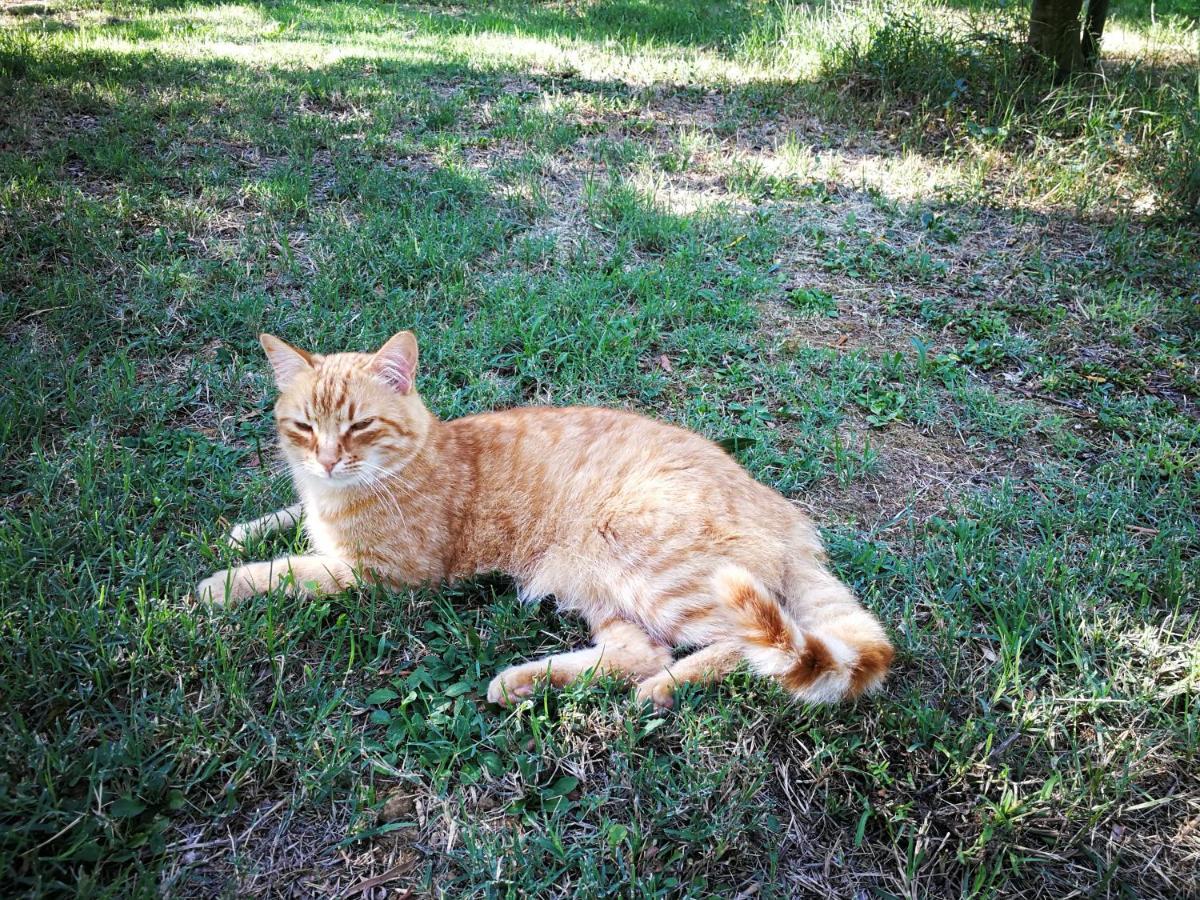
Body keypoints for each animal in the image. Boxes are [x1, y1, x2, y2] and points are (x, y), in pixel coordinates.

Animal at [196, 333, 892, 710]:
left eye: (360, 425)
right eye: (303, 426)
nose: (328, 459)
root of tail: (790, 520)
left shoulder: (383, 575)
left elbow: (292, 571)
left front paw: (221, 583)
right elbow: (283, 520)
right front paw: (241, 530)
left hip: (652, 563)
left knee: (733, 648)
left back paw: (663, 688)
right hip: (597, 587)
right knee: (638, 652)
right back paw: (520, 683)